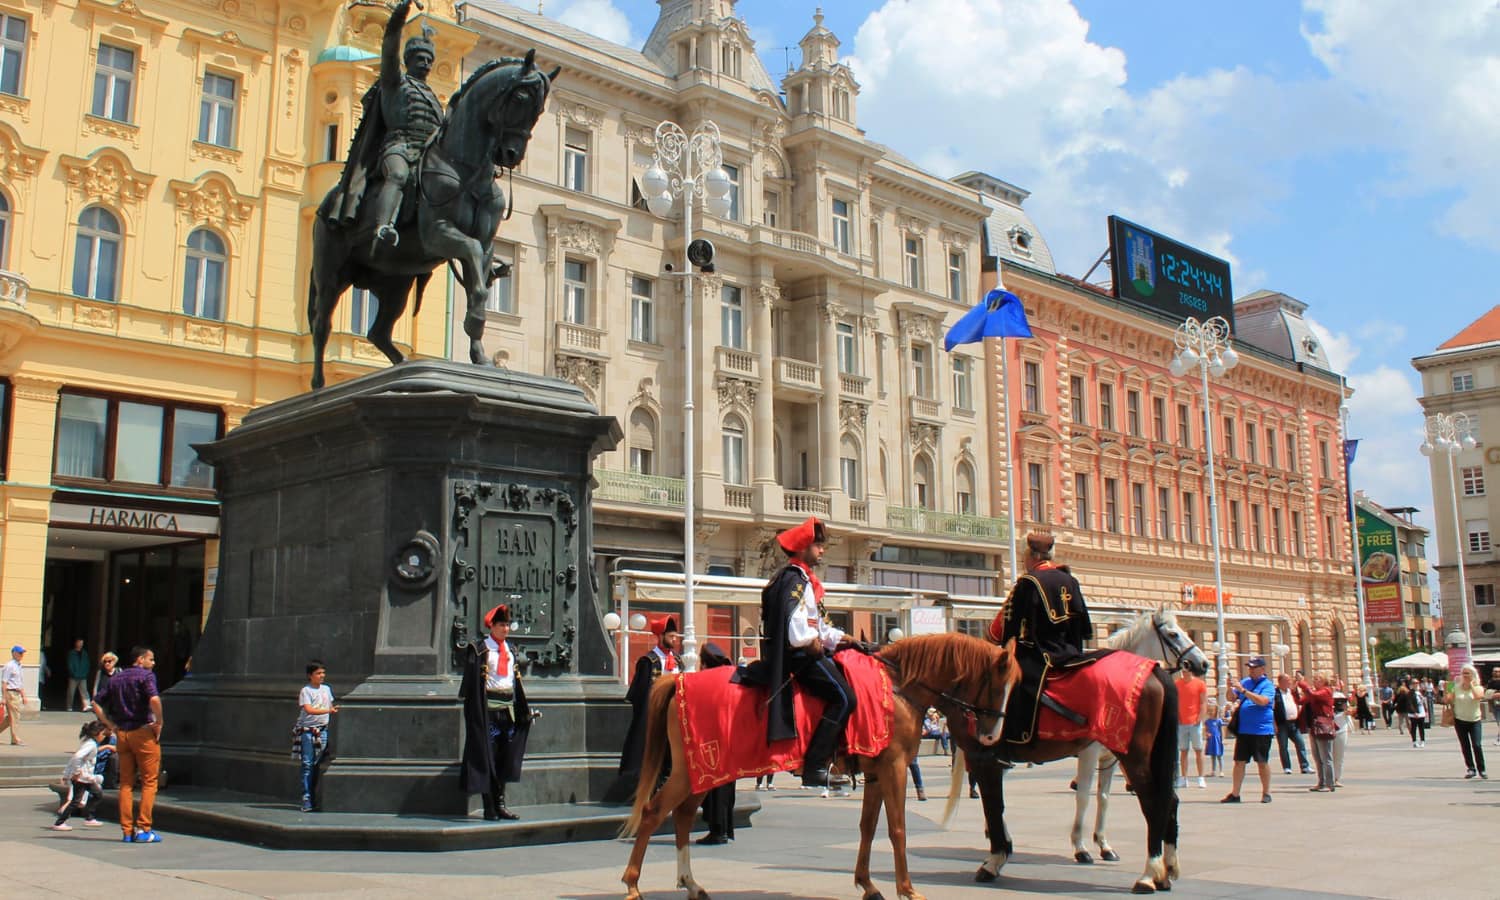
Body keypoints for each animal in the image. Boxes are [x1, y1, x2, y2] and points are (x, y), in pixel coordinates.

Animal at [618, 633, 1020, 900]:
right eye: (999, 684)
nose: (991, 736)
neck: (897, 687)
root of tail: (679, 679)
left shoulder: (876, 772)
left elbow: (868, 827)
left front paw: (868, 885)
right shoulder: (894, 767)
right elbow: (897, 829)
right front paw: (906, 889)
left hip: (702, 771)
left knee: (683, 816)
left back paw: (691, 883)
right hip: (695, 768)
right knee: (654, 812)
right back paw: (633, 883)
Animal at [1068, 609, 1206, 870]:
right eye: (1173, 634)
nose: (1203, 663)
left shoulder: (1108, 758)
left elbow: (1103, 798)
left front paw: (1104, 845)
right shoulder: (1088, 753)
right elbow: (1083, 797)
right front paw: (1080, 848)